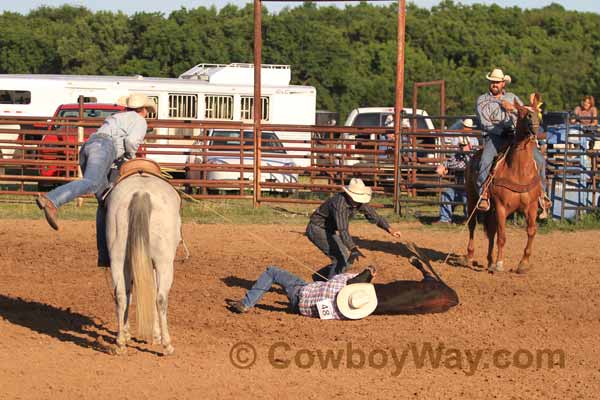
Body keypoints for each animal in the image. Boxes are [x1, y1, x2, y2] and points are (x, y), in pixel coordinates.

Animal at [105, 173, 180, 354]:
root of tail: (141, 193)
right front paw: (156, 335)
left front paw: (127, 333)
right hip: (164, 264)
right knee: (161, 298)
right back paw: (167, 345)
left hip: (118, 260)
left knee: (120, 296)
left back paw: (120, 343)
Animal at [464, 101, 544, 274]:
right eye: (521, 111)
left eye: (536, 110)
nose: (533, 120)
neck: (519, 171)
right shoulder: (501, 207)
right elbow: (502, 236)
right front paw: (500, 263)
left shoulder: (532, 206)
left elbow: (531, 231)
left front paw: (523, 263)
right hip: (472, 198)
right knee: (472, 225)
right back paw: (470, 256)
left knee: (491, 230)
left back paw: (490, 261)